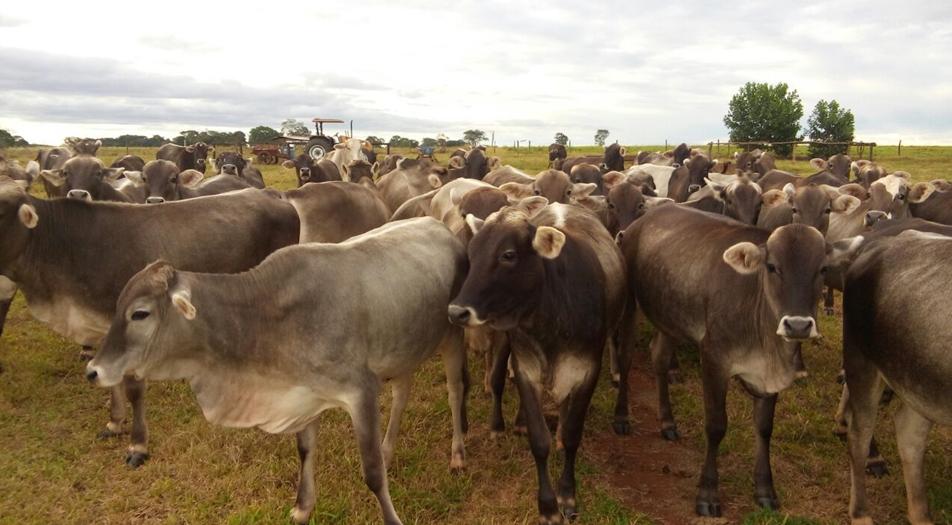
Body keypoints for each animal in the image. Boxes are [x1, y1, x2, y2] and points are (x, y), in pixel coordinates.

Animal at [87, 216, 466, 524]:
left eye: (140, 313)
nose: (93, 370)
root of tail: (440, 225)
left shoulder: (361, 392)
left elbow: (371, 472)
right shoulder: (305, 394)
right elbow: (305, 451)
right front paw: (302, 509)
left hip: (452, 338)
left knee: (454, 392)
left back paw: (458, 454)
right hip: (404, 350)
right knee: (402, 393)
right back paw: (389, 450)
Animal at [450, 199, 628, 520]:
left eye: (508, 255)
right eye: (472, 253)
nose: (457, 311)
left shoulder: (587, 371)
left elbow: (572, 435)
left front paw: (567, 496)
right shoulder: (526, 369)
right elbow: (538, 439)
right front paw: (547, 505)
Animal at [616, 205, 832, 516]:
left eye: (822, 270)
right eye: (772, 267)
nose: (798, 325)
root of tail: (640, 222)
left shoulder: (766, 378)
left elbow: (764, 428)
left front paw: (765, 490)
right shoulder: (714, 360)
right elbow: (716, 425)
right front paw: (707, 494)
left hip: (669, 318)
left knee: (659, 358)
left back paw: (667, 422)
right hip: (631, 304)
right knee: (625, 358)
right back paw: (621, 417)